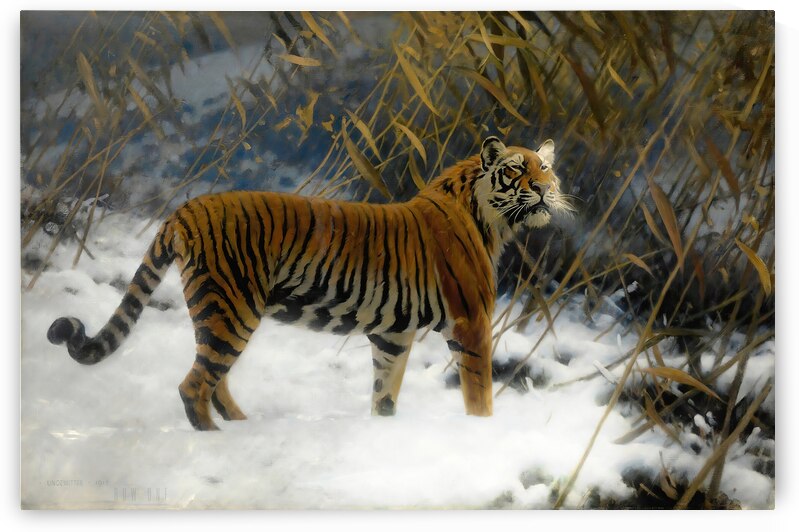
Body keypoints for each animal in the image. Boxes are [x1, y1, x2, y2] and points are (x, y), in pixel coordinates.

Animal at [47, 136, 572, 431]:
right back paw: (217, 439)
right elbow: (479, 394)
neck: (492, 219)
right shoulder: (471, 322)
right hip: (233, 308)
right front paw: (481, 432)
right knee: (194, 385)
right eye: (517, 169)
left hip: (218, 312)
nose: (545, 189)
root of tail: (187, 207)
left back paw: (242, 429)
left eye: (546, 167)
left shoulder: (392, 335)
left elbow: (384, 393)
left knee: (213, 379)